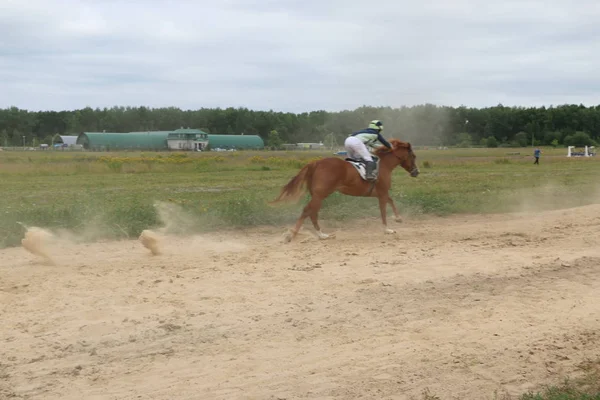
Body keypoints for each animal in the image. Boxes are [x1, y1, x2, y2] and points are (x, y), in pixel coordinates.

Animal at [270, 139, 420, 242]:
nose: (416, 172)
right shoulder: (382, 193)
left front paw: (398, 219)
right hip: (320, 194)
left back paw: (318, 234)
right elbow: (384, 211)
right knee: (309, 211)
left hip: (317, 195)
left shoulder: (380, 194)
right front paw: (388, 228)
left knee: (312, 212)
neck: (384, 165)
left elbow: (390, 201)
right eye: (413, 156)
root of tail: (315, 163)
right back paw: (304, 234)